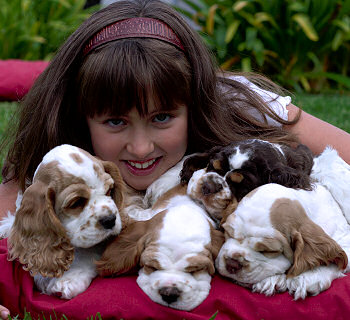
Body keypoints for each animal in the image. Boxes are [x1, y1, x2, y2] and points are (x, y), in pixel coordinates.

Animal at [0, 145, 129, 300]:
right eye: (76, 203)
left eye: (109, 190)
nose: (110, 220)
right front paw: (6, 227)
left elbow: (87, 251)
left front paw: (69, 279)